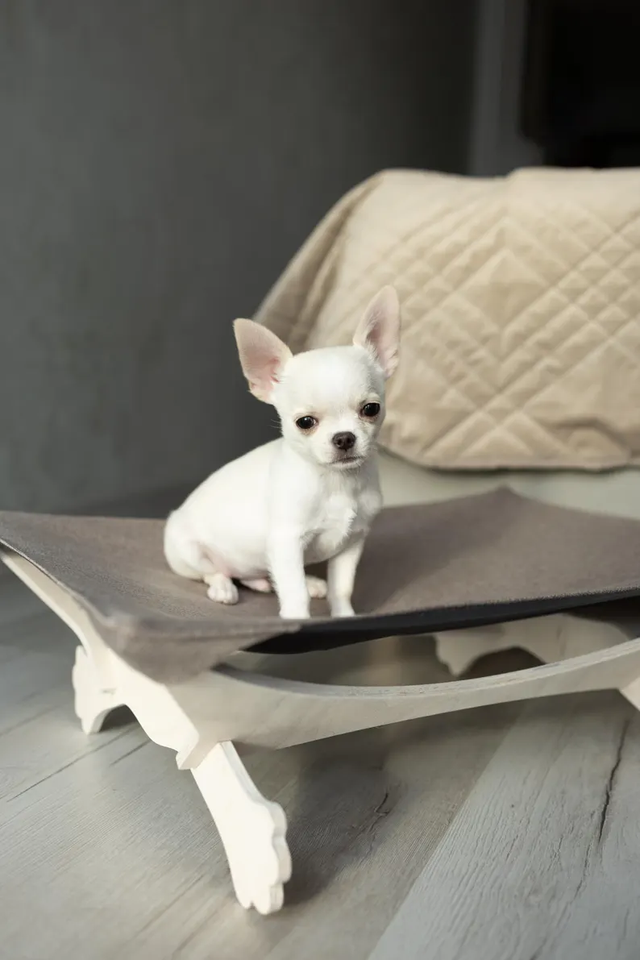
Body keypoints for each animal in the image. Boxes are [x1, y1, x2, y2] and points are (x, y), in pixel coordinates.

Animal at [164, 285, 400, 620]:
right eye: (305, 422)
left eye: (371, 409)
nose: (344, 438)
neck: (335, 482)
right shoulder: (286, 543)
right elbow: (294, 592)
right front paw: (297, 621)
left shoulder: (352, 543)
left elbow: (342, 588)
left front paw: (343, 617)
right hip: (188, 554)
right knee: (214, 572)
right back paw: (224, 587)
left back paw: (295, 582)